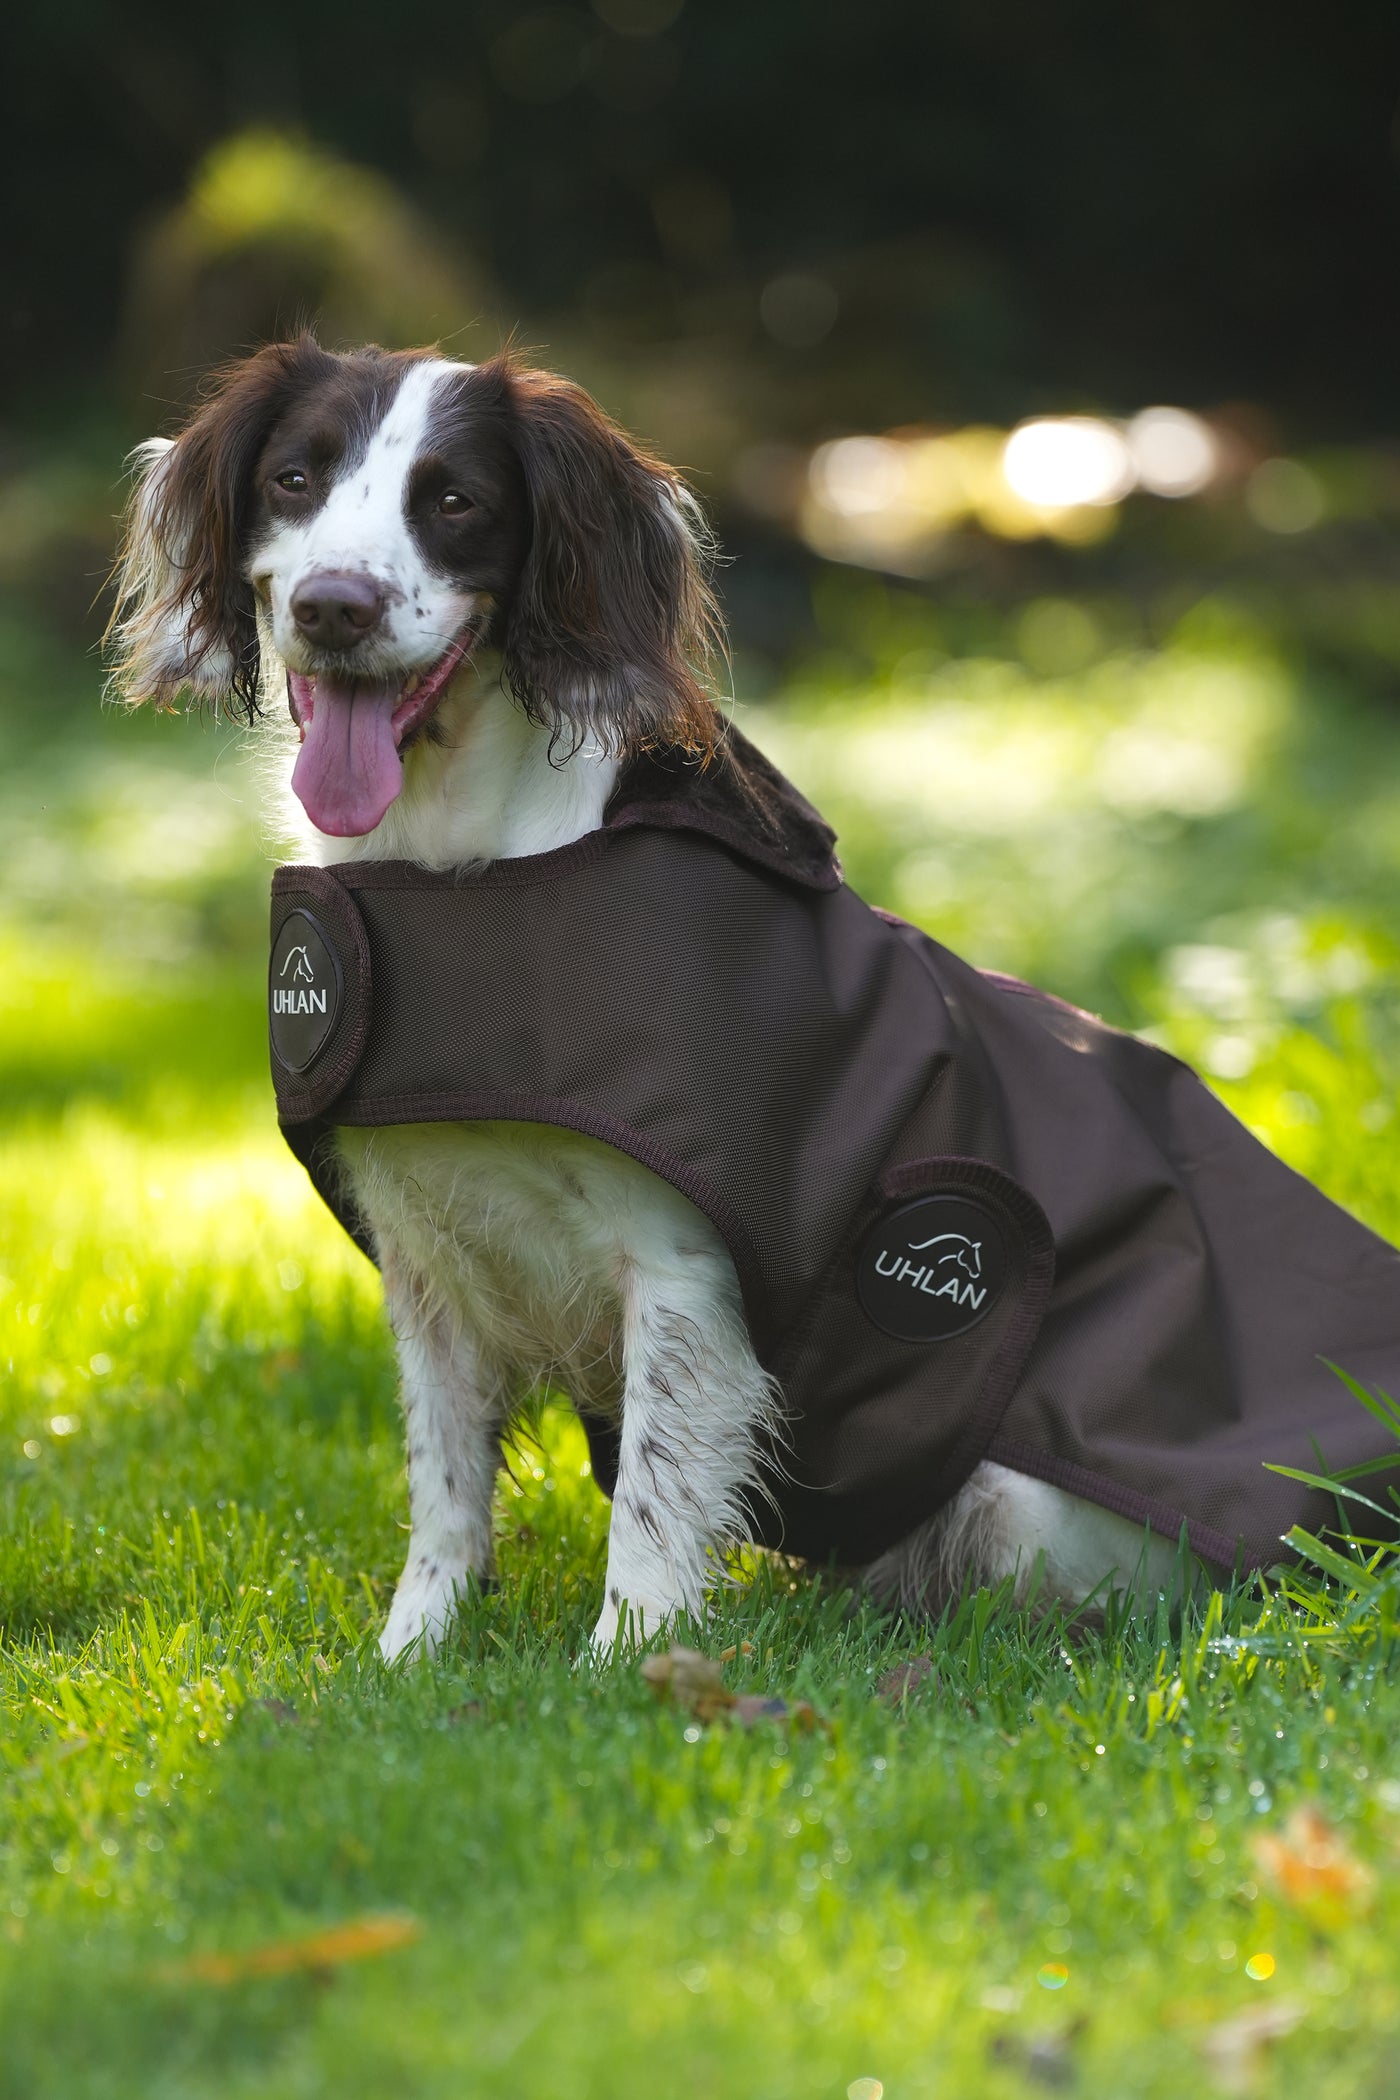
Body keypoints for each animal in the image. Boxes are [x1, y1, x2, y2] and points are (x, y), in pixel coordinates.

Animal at [112, 340, 1192, 1654]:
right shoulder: (426, 1261)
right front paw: (411, 1657)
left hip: (1012, 1495)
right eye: (294, 477)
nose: (332, 606)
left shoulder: (680, 1270)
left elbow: (656, 1490)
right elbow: (444, 1488)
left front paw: (626, 1662)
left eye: (455, 500)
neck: (460, 871)